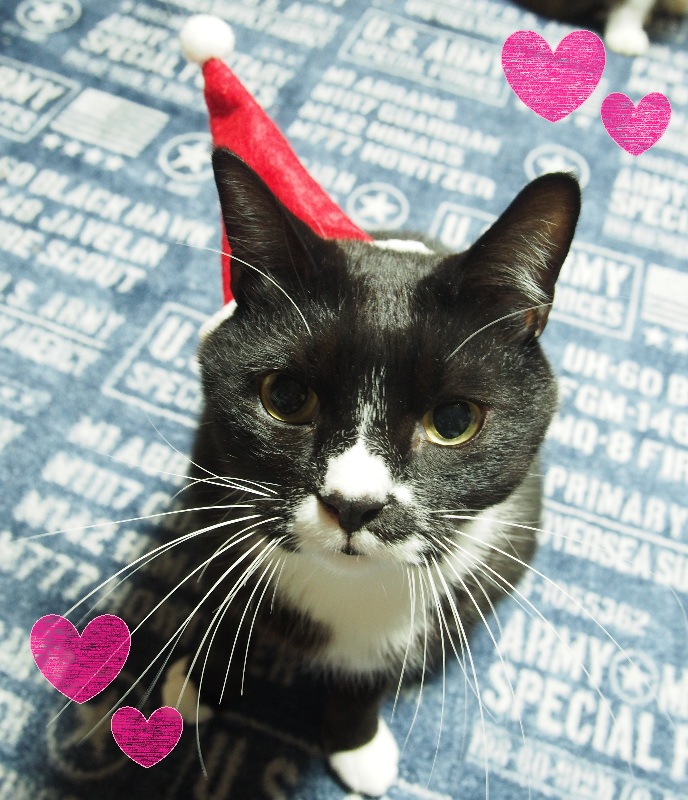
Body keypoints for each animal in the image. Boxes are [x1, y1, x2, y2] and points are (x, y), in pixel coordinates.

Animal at [161, 147, 581, 797]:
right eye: (285, 396)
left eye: (454, 420)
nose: (354, 504)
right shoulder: (211, 495)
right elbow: (223, 603)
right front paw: (198, 683)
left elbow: (378, 669)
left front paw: (357, 745)